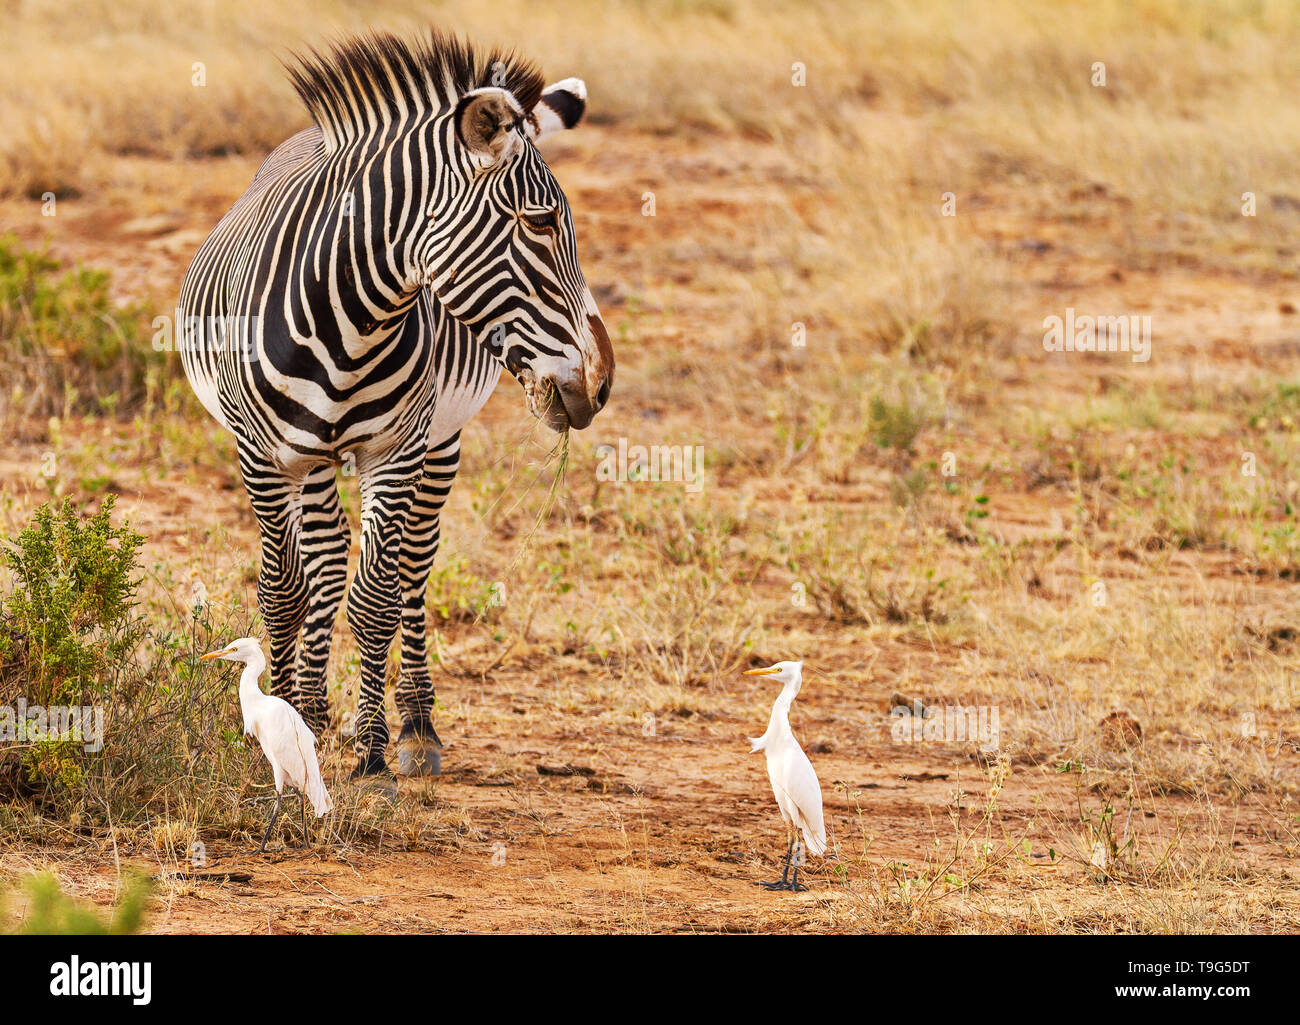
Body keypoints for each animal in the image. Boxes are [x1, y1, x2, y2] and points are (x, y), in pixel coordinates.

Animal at [176, 30, 613, 775]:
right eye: (542, 221)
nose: (600, 382)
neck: (347, 320)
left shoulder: (396, 448)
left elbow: (376, 596)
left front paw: (375, 753)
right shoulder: (263, 454)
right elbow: (285, 591)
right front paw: (286, 720)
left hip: (438, 440)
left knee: (411, 562)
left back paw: (414, 724)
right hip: (311, 458)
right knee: (321, 564)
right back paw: (313, 706)